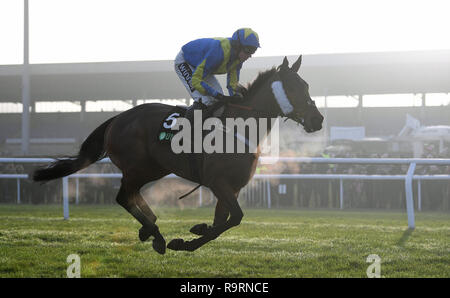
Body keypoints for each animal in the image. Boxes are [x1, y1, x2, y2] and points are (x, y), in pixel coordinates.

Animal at [33, 55, 326, 254]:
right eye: (295, 88)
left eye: (307, 86)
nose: (318, 119)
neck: (239, 127)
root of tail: (118, 117)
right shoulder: (218, 182)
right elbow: (235, 218)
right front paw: (182, 242)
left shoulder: (232, 187)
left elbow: (223, 222)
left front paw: (197, 231)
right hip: (138, 167)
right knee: (123, 196)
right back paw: (156, 235)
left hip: (153, 168)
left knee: (131, 195)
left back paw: (149, 228)